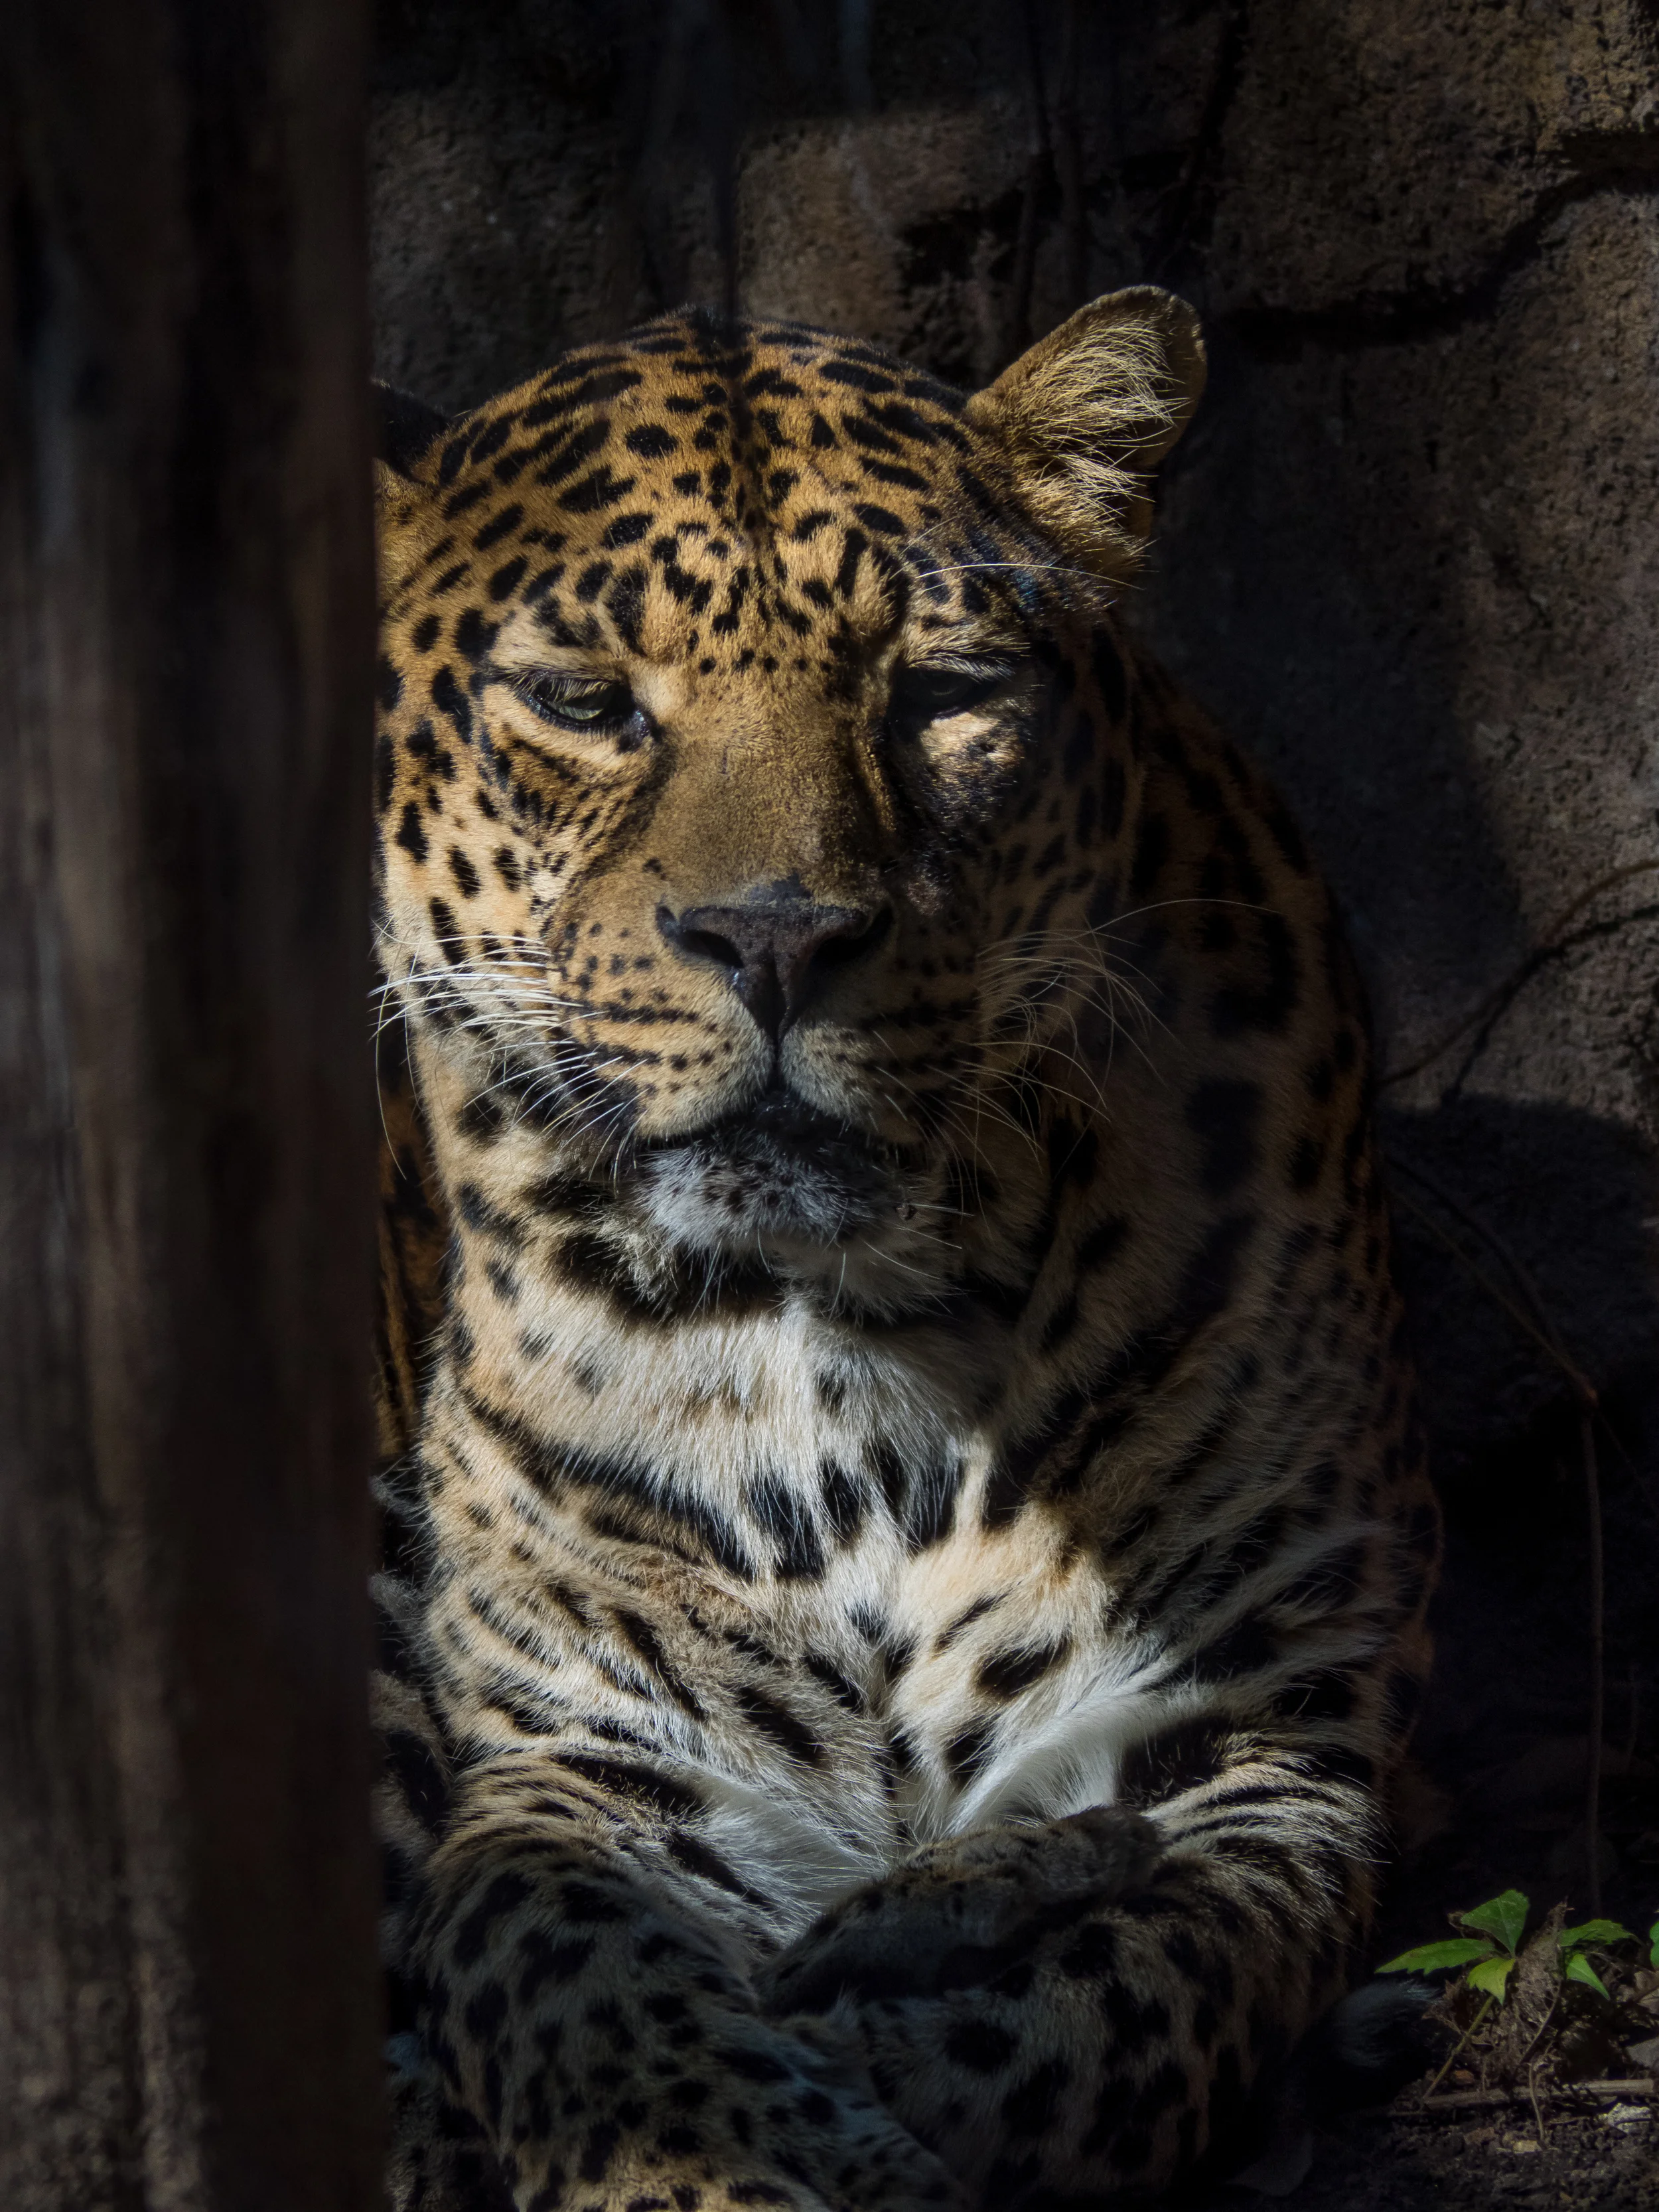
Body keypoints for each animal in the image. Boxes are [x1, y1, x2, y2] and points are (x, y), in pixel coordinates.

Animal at [368, 285, 1440, 2212]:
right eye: (582, 704)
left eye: (942, 694)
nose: (774, 939)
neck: (844, 1342)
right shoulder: (571, 1777)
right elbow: (590, 2000)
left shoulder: (1269, 1742)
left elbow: (1099, 2020)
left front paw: (899, 2018)